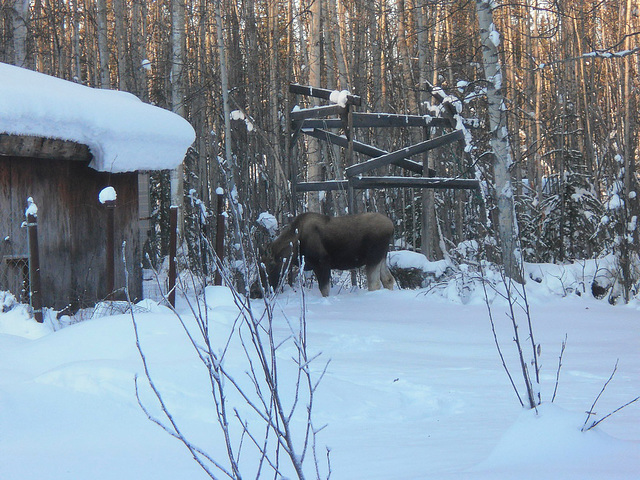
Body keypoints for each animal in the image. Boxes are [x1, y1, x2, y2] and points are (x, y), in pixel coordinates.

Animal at [251, 213, 396, 298]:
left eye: (270, 266)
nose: (255, 291)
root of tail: (392, 226)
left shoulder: (322, 263)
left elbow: (324, 290)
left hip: (373, 257)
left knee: (374, 284)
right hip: (382, 256)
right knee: (388, 279)